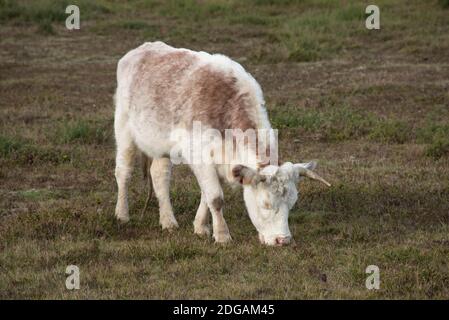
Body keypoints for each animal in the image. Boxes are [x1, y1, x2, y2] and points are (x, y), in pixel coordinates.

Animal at [112, 41, 328, 246]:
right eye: (266, 204)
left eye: (292, 204)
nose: (283, 240)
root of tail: (140, 50)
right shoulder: (199, 156)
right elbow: (215, 198)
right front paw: (222, 235)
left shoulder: (223, 162)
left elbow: (206, 196)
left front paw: (201, 227)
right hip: (123, 129)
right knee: (123, 172)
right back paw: (122, 215)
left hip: (160, 144)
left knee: (159, 175)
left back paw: (168, 221)